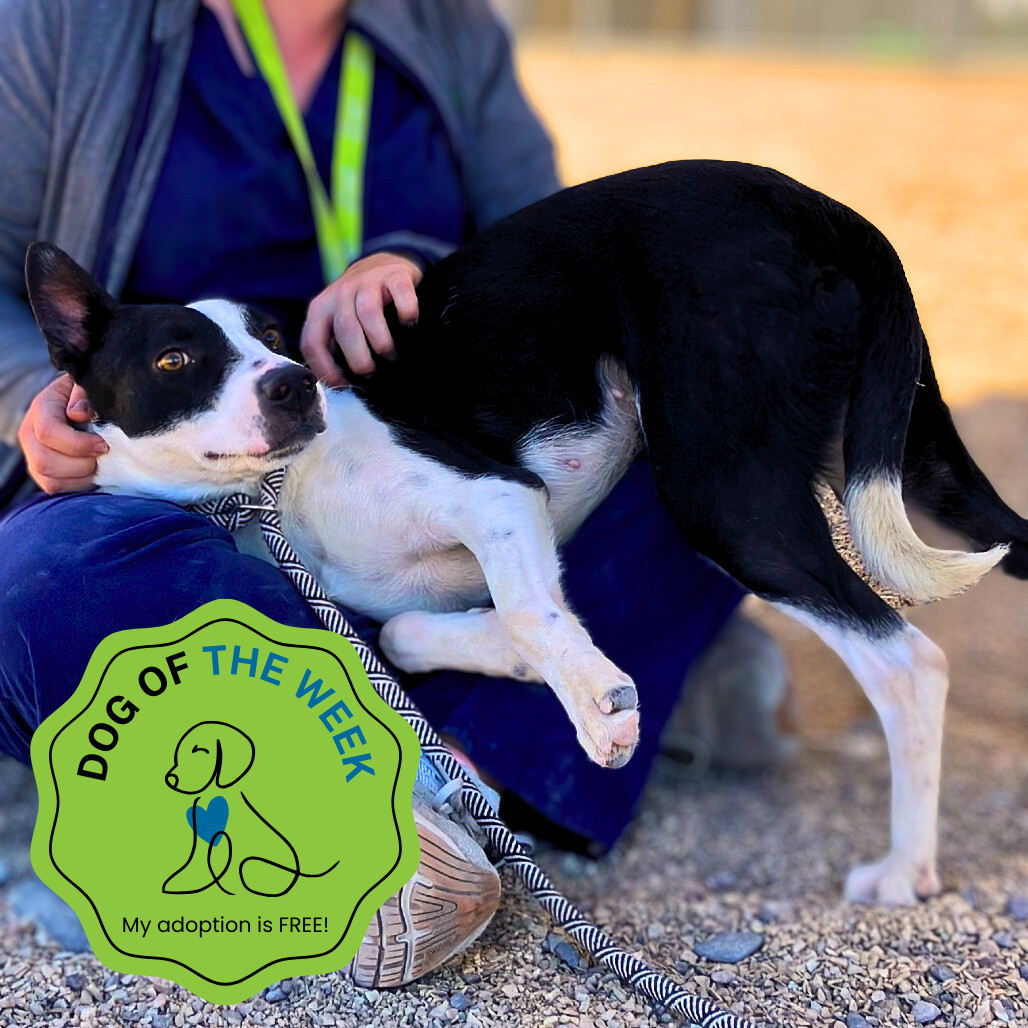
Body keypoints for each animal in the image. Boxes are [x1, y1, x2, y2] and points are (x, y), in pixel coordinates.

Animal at [26, 156, 1028, 904]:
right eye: (176, 359)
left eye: (274, 340)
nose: (293, 384)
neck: (281, 488)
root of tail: (823, 207)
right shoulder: (439, 561)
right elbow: (420, 627)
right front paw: (522, 661)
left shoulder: (499, 494)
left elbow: (527, 609)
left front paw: (589, 700)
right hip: (913, 451)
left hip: (721, 490)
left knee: (908, 663)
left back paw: (904, 870)